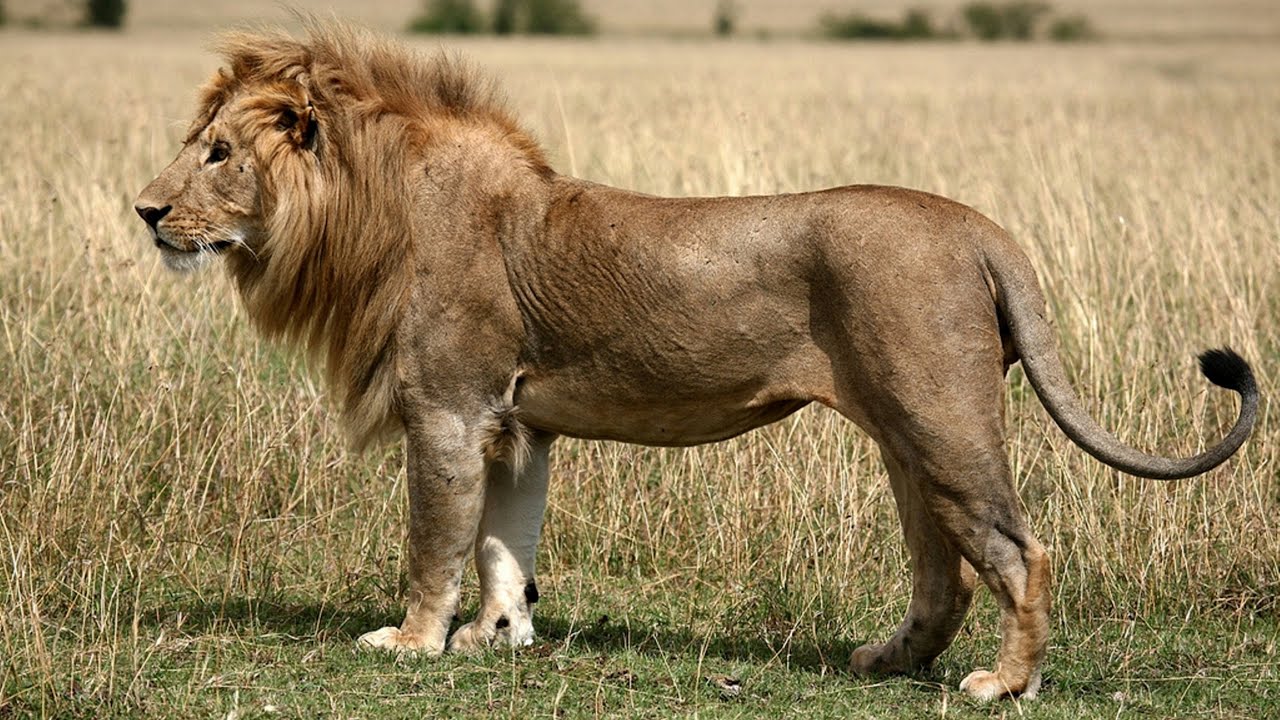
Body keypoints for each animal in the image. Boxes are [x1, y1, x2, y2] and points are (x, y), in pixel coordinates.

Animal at [133, 21, 1257, 701]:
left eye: (219, 153)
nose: (144, 212)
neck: (370, 212)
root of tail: (982, 226)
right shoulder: (515, 421)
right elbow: (504, 542)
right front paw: (497, 637)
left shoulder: (448, 408)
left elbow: (434, 541)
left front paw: (411, 644)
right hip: (905, 431)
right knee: (943, 568)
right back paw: (884, 661)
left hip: (943, 417)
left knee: (1021, 551)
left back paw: (1001, 686)